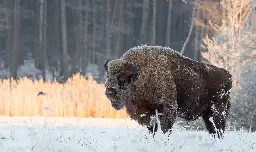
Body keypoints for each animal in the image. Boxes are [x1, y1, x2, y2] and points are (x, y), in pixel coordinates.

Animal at [104, 44, 232, 138]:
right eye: (108, 76)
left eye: (122, 78)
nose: (109, 92)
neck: (141, 75)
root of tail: (228, 75)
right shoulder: (148, 114)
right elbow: (152, 129)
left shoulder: (167, 110)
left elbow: (165, 129)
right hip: (207, 115)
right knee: (213, 131)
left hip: (218, 113)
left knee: (220, 130)